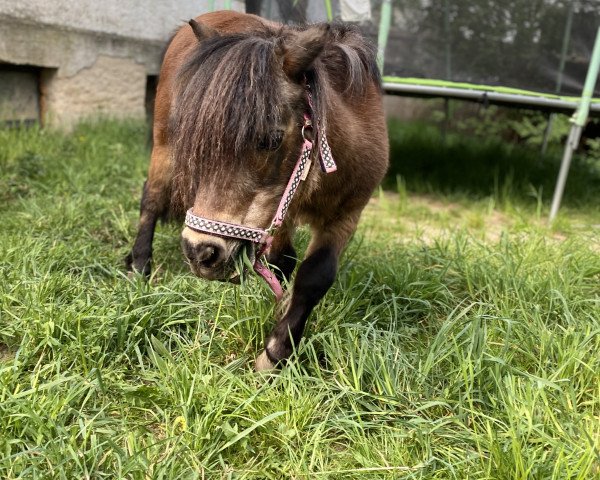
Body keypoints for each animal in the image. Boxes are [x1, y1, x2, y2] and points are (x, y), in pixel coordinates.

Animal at [126, 10, 390, 372]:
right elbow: (284, 262)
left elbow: (310, 273)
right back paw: (139, 267)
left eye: (271, 139)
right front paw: (273, 351)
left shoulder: (343, 213)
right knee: (150, 199)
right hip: (163, 146)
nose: (199, 253)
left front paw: (276, 347)